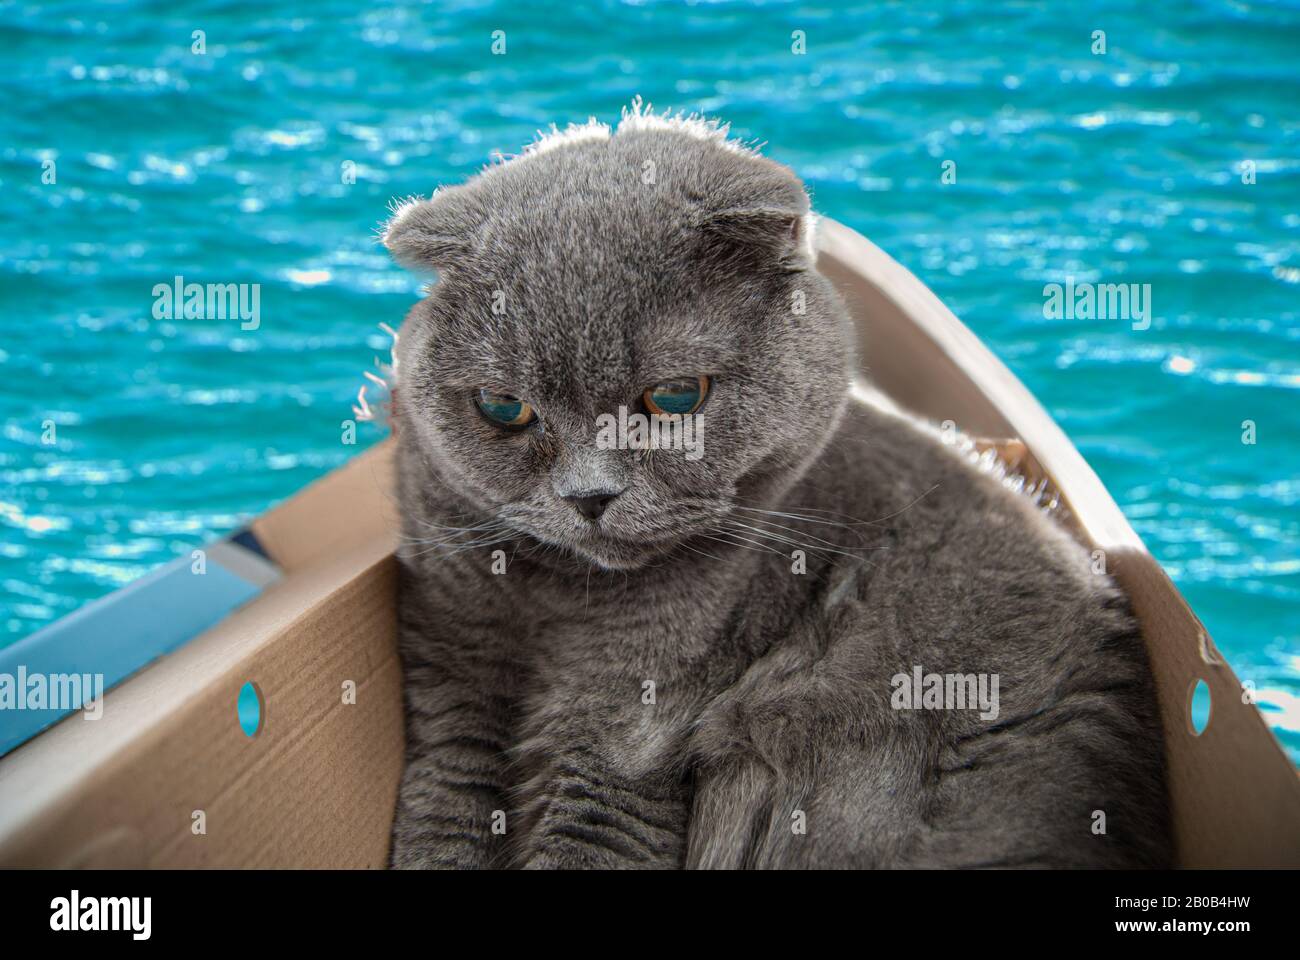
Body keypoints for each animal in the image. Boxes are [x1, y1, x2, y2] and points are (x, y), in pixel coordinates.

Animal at [379, 104, 1175, 868]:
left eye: (675, 397)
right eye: (503, 408)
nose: (588, 498)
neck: (559, 605)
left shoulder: (628, 737)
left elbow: (589, 834)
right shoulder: (448, 677)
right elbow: (440, 820)